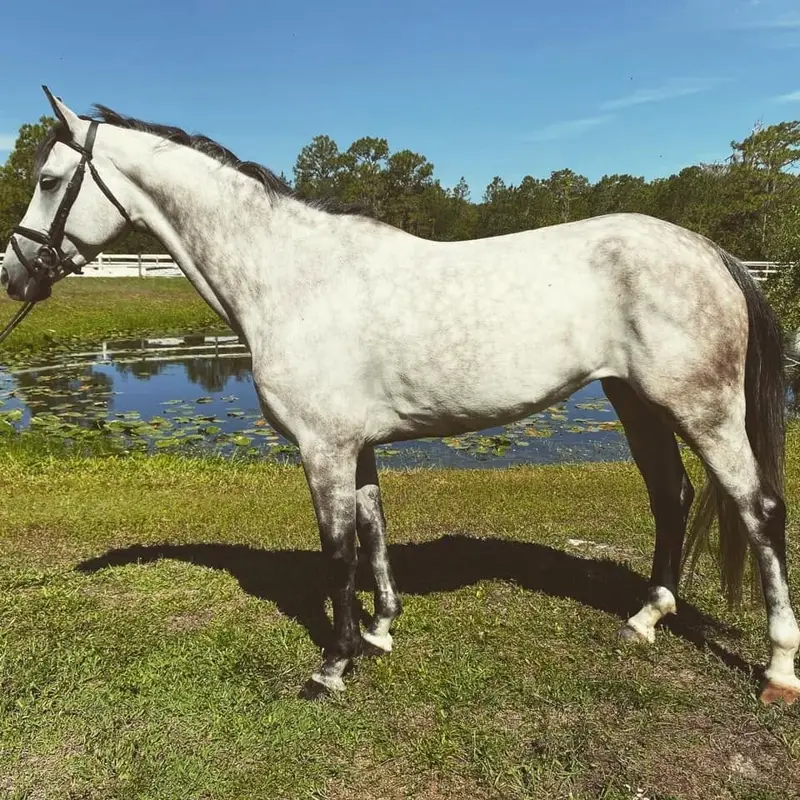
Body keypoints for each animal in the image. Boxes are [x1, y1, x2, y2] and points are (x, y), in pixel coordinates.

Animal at [2, 87, 798, 704]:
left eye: (49, 179)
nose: (14, 275)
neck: (295, 278)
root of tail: (709, 252)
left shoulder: (323, 448)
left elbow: (336, 552)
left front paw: (333, 665)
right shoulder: (356, 447)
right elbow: (374, 533)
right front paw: (380, 631)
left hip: (703, 409)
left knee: (758, 509)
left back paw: (778, 668)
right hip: (635, 402)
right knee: (673, 496)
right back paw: (645, 619)